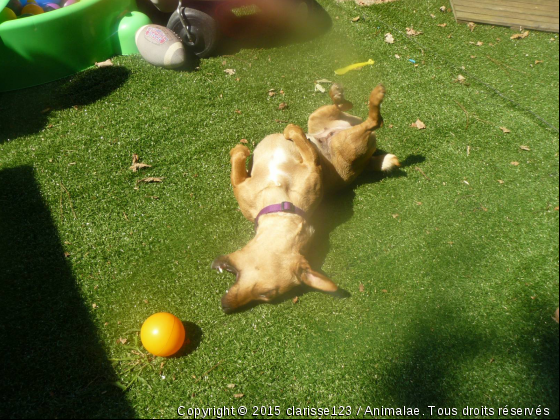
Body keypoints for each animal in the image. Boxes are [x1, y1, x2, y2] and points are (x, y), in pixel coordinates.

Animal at [212, 83, 400, 312]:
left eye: (266, 295)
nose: (226, 307)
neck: (282, 206)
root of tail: (365, 164)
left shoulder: (312, 165)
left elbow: (304, 149)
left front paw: (287, 134)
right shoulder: (243, 186)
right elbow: (238, 166)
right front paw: (241, 149)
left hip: (346, 143)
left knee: (374, 121)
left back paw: (372, 97)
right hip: (319, 118)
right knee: (343, 109)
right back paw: (338, 95)